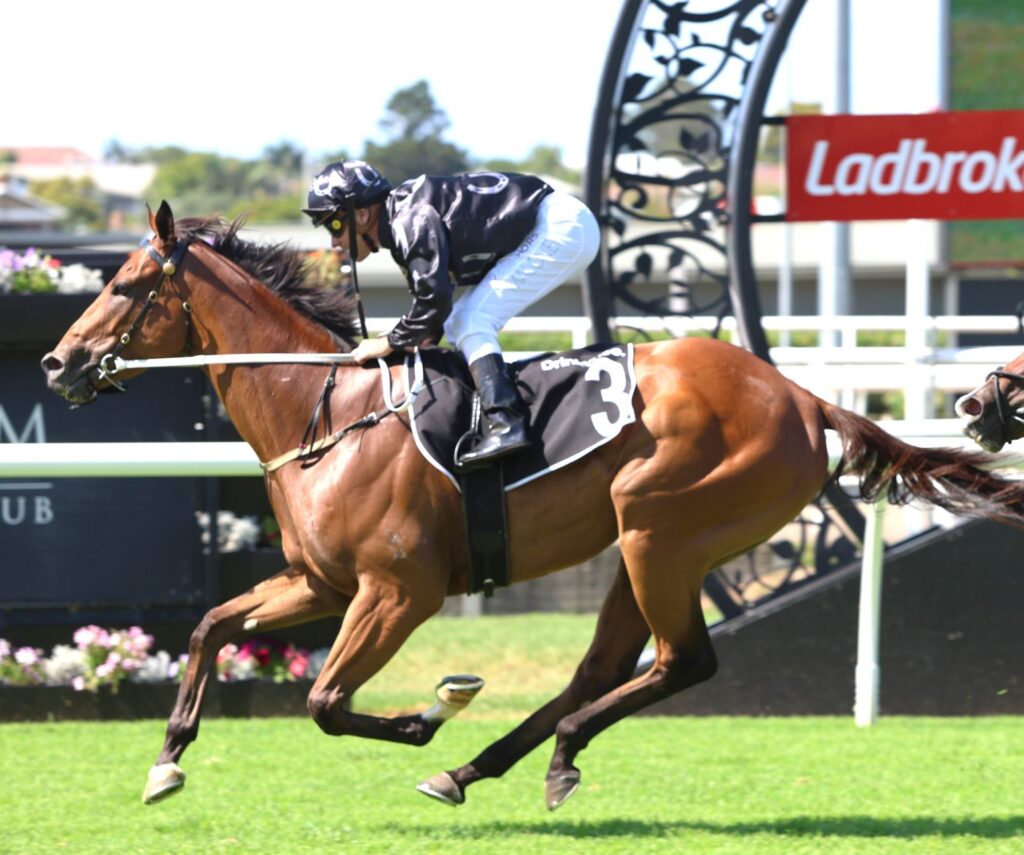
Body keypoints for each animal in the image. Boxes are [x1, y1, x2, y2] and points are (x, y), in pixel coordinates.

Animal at [41, 202, 1024, 810]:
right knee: (605, 668)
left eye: (124, 285)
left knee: (683, 662)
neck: (327, 414)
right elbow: (212, 624)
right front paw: (165, 762)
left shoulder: (398, 591)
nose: (56, 362)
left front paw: (428, 710)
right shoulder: (319, 582)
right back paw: (475, 768)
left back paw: (535, 756)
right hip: (647, 546)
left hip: (659, 527)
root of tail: (801, 396)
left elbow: (323, 697)